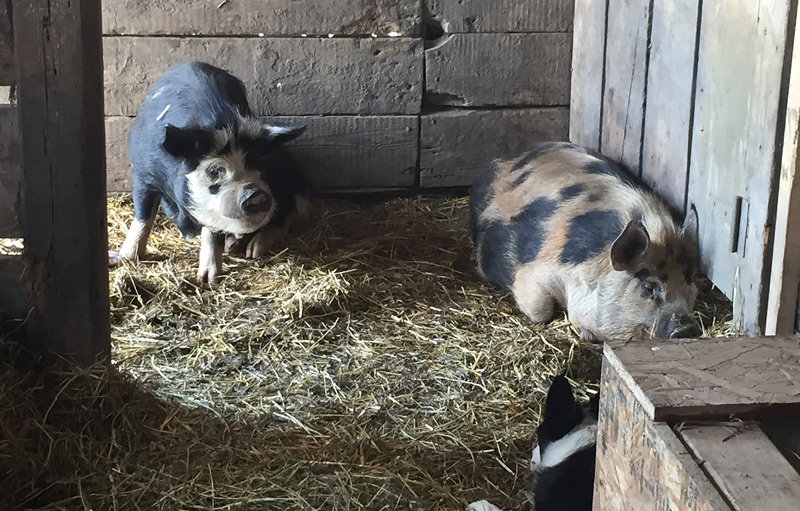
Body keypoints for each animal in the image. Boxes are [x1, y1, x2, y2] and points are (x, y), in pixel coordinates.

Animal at [110, 61, 310, 284]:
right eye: (214, 171)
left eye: (259, 163)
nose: (255, 193)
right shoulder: (142, 173)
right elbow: (143, 218)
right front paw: (121, 258)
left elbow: (211, 230)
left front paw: (207, 280)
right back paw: (233, 245)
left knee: (289, 211)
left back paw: (254, 250)